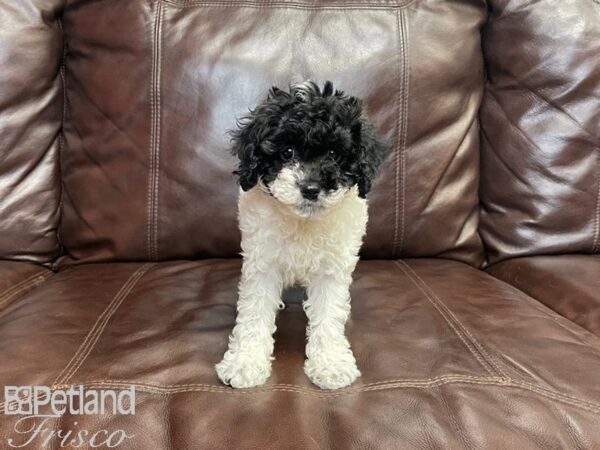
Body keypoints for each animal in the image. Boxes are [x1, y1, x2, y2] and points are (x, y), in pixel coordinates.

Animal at [216, 81, 390, 390]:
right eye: (287, 152)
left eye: (333, 154)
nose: (310, 188)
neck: (302, 222)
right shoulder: (262, 263)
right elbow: (254, 312)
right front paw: (244, 363)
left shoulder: (333, 268)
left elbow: (329, 313)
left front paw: (331, 364)